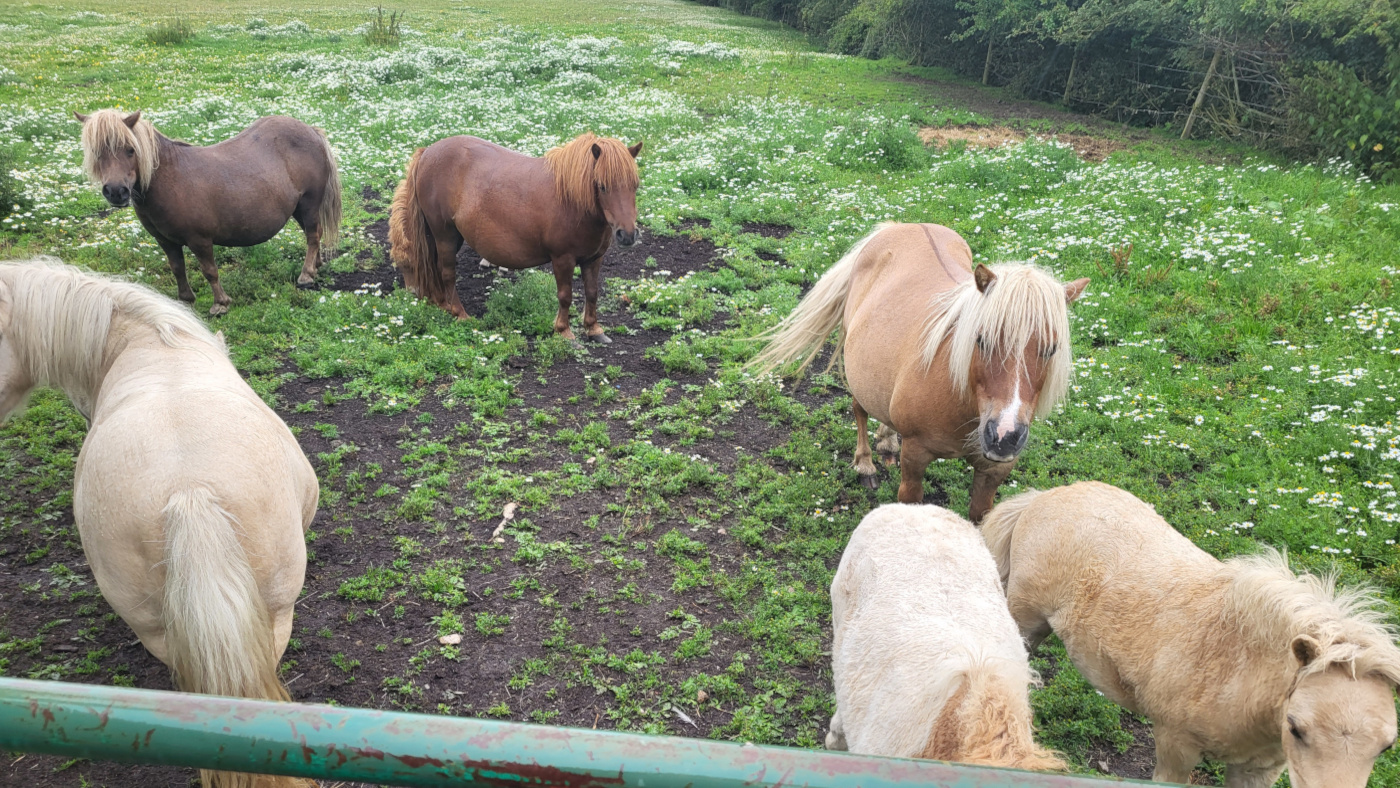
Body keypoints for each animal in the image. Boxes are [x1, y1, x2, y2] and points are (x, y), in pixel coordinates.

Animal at [75, 109, 342, 315]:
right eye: (97, 152)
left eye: (130, 149)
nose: (116, 192)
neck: (170, 180)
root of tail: (311, 131)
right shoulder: (165, 240)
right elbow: (177, 269)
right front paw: (185, 301)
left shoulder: (200, 240)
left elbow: (210, 271)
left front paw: (220, 304)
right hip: (298, 208)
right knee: (313, 235)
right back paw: (316, 265)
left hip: (309, 203)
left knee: (313, 235)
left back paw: (306, 275)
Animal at [388, 132, 641, 341]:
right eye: (602, 186)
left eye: (635, 185)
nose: (627, 234)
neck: (572, 200)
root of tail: (426, 153)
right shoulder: (563, 259)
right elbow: (565, 295)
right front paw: (564, 332)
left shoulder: (593, 259)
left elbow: (592, 292)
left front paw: (594, 329)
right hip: (445, 235)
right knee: (447, 273)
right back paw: (460, 314)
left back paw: (444, 306)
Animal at [749, 223, 1088, 523]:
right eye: (981, 339)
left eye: (1052, 349)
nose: (1004, 436)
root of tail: (900, 225)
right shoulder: (915, 455)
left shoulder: (994, 470)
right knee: (859, 410)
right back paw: (865, 464)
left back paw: (887, 441)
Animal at [982, 481, 1400, 788]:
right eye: (1297, 728)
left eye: (1386, 746)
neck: (1239, 667)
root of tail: (1043, 497)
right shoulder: (1175, 746)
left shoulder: (1260, 768)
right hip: (1025, 619)